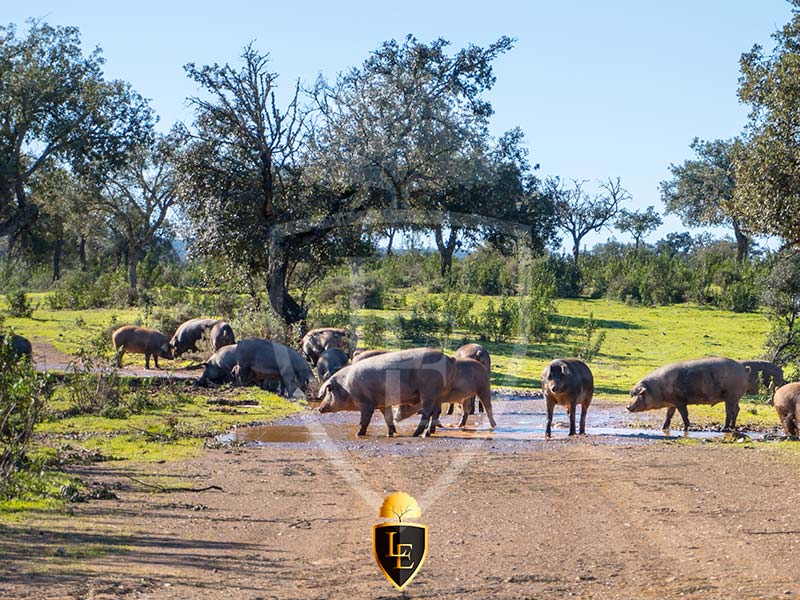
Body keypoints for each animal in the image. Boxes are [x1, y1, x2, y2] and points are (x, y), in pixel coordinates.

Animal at [318, 346, 456, 436]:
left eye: (329, 391)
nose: (319, 408)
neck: (346, 386)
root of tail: (449, 359)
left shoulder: (366, 402)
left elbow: (365, 419)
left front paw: (359, 434)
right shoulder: (383, 403)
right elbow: (387, 418)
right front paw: (391, 433)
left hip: (429, 391)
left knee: (427, 412)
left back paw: (416, 434)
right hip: (440, 393)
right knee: (436, 412)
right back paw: (428, 433)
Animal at [624, 356, 752, 432]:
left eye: (639, 394)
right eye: (631, 394)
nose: (628, 406)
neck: (657, 389)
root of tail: (744, 369)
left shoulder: (680, 401)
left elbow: (684, 415)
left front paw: (685, 429)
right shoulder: (672, 403)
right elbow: (668, 415)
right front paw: (662, 428)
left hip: (731, 396)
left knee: (729, 411)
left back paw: (724, 428)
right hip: (735, 397)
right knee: (737, 409)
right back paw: (732, 427)